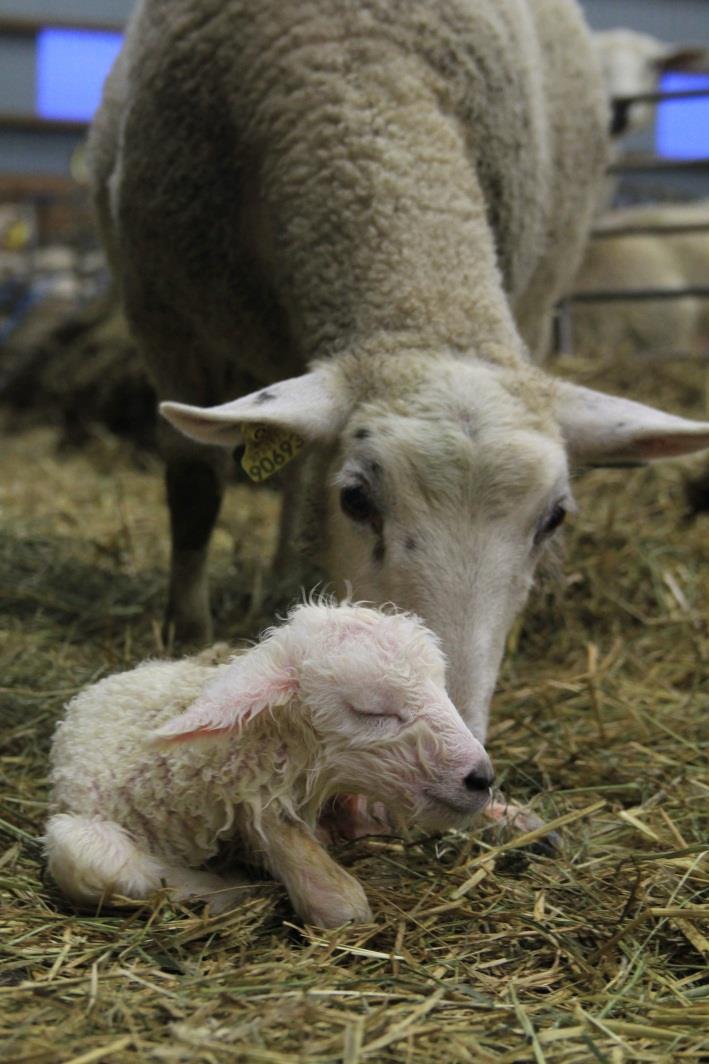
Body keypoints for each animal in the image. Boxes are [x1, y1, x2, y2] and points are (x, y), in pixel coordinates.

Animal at [91, 0, 706, 753]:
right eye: (357, 500)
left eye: (554, 518)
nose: (451, 738)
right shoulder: (165, 317)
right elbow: (194, 488)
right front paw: (186, 632)